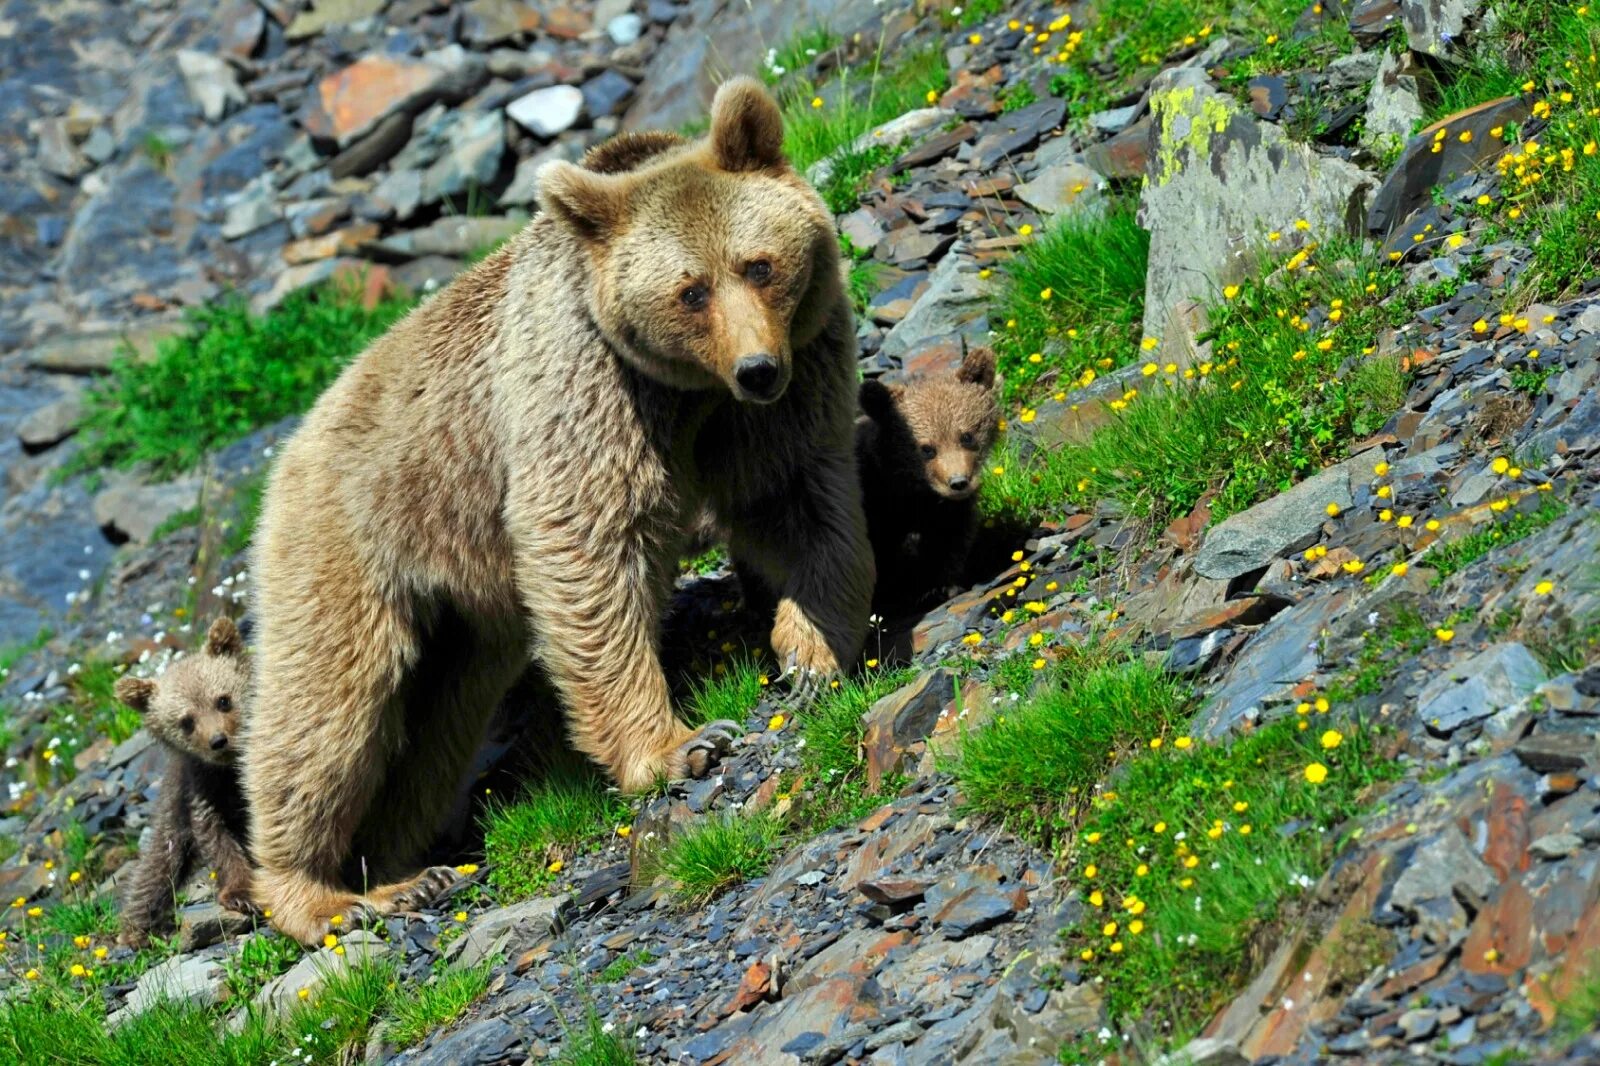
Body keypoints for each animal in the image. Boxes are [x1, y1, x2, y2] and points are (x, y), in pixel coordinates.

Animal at [112, 614, 252, 947]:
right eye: (186, 721)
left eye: (223, 700)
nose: (218, 741)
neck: (228, 772)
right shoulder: (200, 790)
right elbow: (216, 836)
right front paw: (241, 893)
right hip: (171, 819)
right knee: (156, 870)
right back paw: (135, 931)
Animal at [246, 78, 876, 941]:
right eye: (690, 290)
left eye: (760, 264)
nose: (756, 367)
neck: (690, 393)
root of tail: (290, 447)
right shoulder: (589, 390)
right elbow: (588, 546)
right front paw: (683, 744)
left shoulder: (790, 378)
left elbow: (802, 501)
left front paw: (809, 653)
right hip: (351, 541)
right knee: (328, 709)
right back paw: (329, 895)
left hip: (459, 625)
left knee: (432, 729)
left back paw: (400, 864)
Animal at [857, 347, 992, 611]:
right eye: (927, 448)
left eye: (966, 436)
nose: (958, 483)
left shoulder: (946, 510)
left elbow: (949, 538)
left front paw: (943, 586)